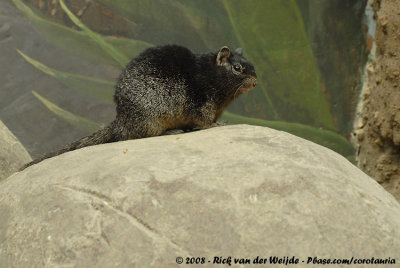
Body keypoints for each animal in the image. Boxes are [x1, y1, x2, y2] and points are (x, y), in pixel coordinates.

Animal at [23, 45, 258, 169]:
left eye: (252, 66)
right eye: (237, 68)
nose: (256, 82)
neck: (212, 75)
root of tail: (121, 121)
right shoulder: (203, 104)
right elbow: (205, 121)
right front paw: (217, 125)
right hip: (153, 121)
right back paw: (172, 131)